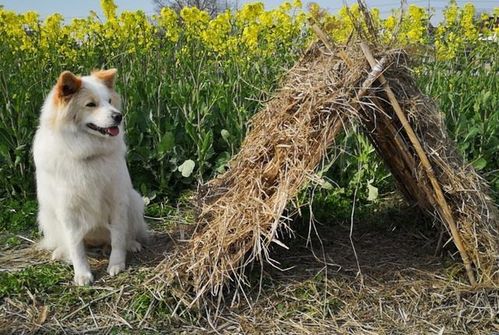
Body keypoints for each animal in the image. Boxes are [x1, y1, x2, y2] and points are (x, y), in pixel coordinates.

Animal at [32, 69, 146, 288]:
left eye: (109, 101)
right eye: (91, 104)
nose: (118, 116)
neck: (87, 154)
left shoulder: (117, 202)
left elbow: (118, 237)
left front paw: (116, 264)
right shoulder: (68, 211)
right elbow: (76, 247)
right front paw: (82, 274)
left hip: (135, 201)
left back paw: (131, 244)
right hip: (46, 215)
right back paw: (61, 252)